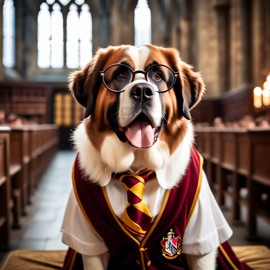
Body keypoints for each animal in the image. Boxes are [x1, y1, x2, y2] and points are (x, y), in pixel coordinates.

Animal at [61, 44, 238, 270]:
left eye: (158, 75)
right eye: (120, 75)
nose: (142, 91)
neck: (137, 166)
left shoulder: (201, 238)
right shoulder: (89, 242)